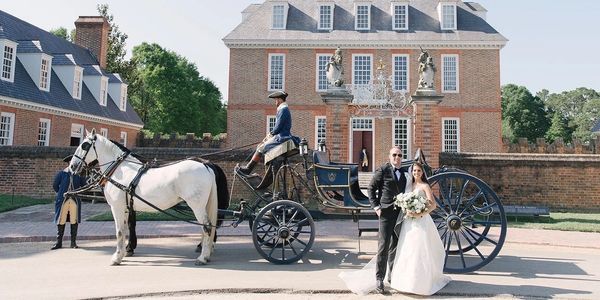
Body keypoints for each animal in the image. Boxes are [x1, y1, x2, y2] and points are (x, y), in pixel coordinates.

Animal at [69, 129, 229, 264]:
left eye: (84, 145)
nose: (72, 166)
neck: (120, 170)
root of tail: (206, 166)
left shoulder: (117, 207)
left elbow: (119, 231)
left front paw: (117, 257)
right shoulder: (127, 207)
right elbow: (126, 229)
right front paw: (125, 252)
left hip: (197, 205)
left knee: (207, 226)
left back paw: (203, 257)